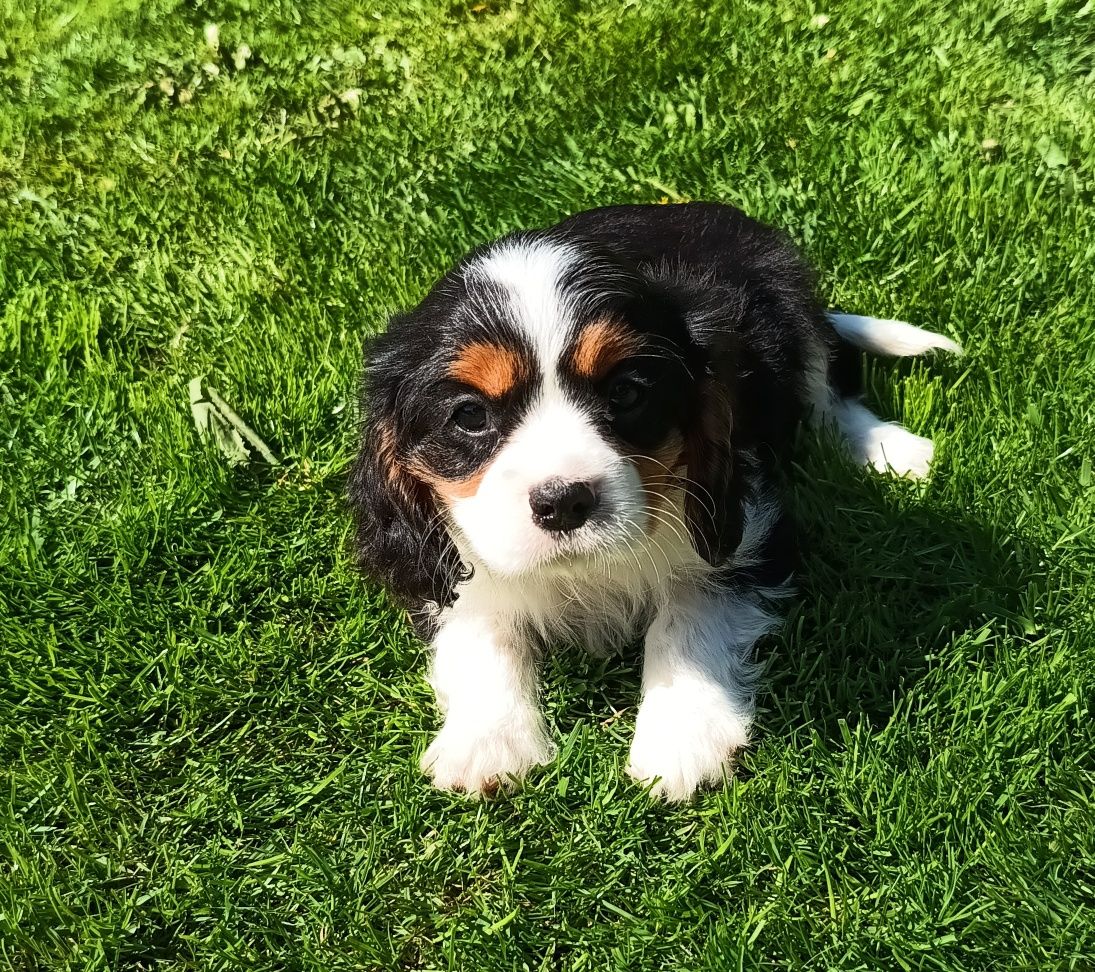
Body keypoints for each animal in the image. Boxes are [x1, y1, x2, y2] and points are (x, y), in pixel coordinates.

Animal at [348, 201, 959, 801]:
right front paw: (487, 742)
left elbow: (687, 613)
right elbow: (481, 626)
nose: (564, 502)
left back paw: (888, 450)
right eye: (471, 416)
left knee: (829, 393)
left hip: (792, 309)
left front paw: (682, 736)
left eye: (626, 393)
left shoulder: (748, 527)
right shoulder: (449, 561)